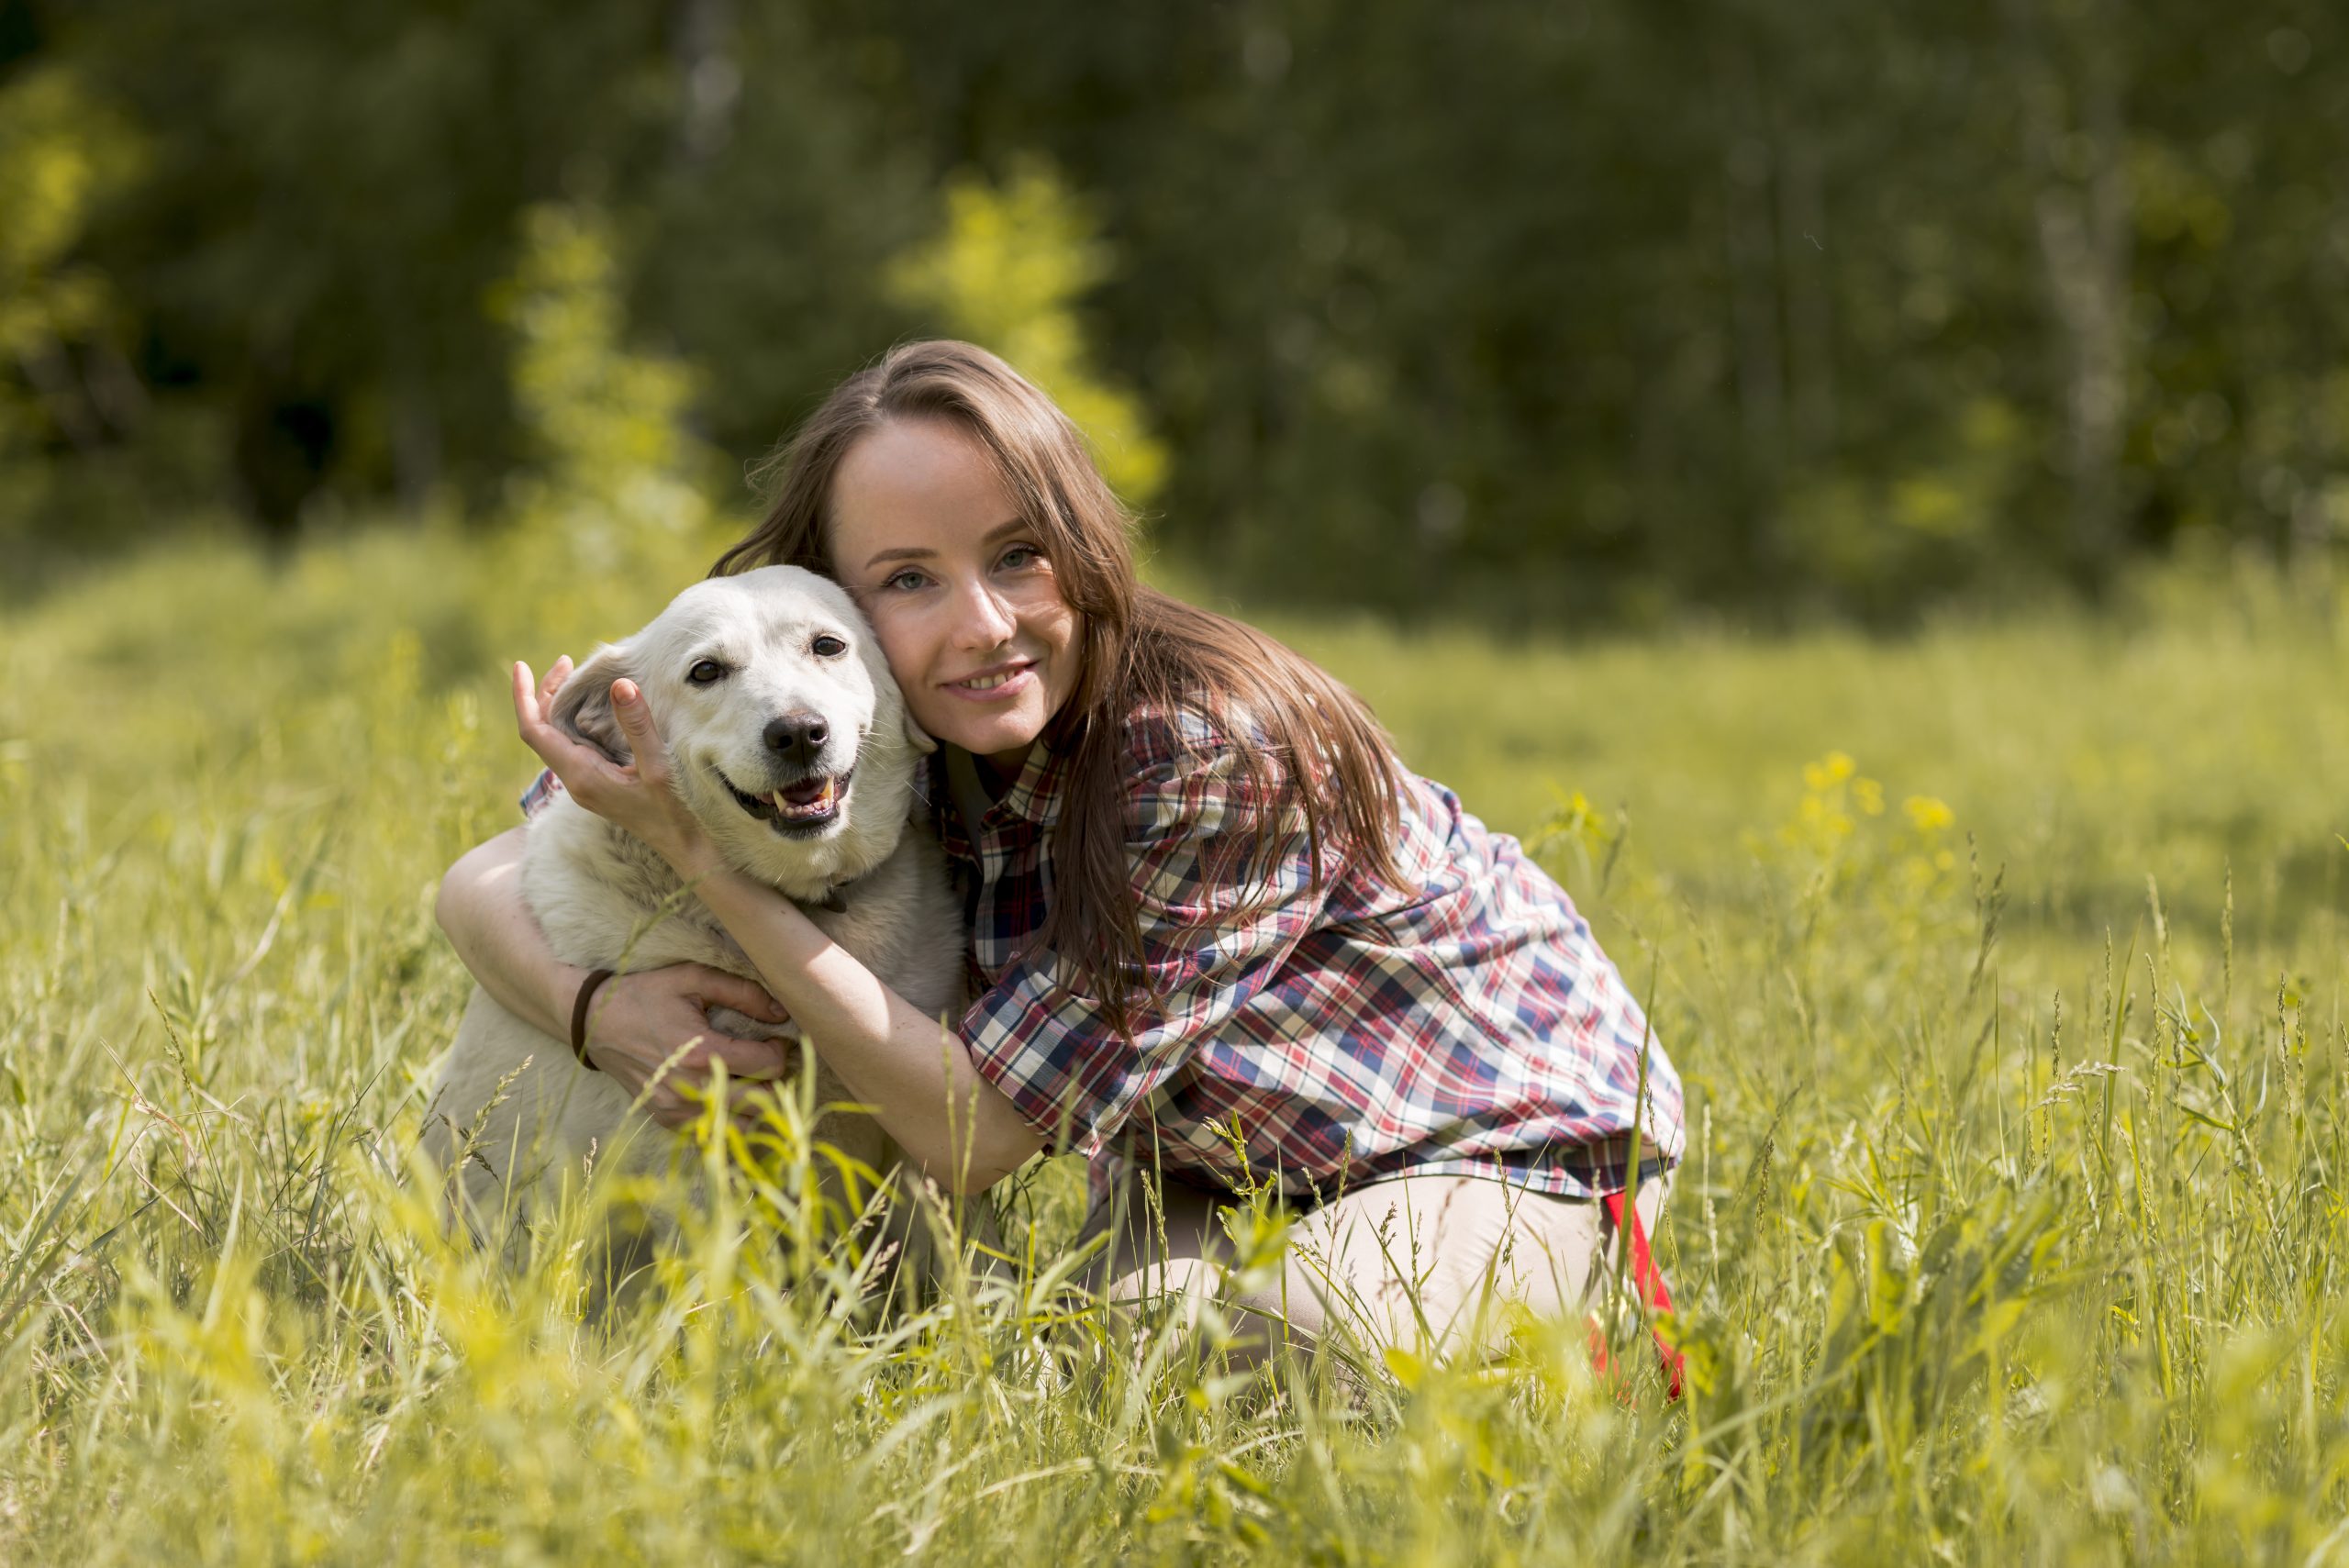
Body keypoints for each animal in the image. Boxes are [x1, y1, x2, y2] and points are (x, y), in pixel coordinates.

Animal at [422, 563, 963, 1276]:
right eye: (706, 672)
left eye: (827, 646)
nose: (798, 732)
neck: (808, 910)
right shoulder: (693, 1160)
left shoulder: (920, 1157)